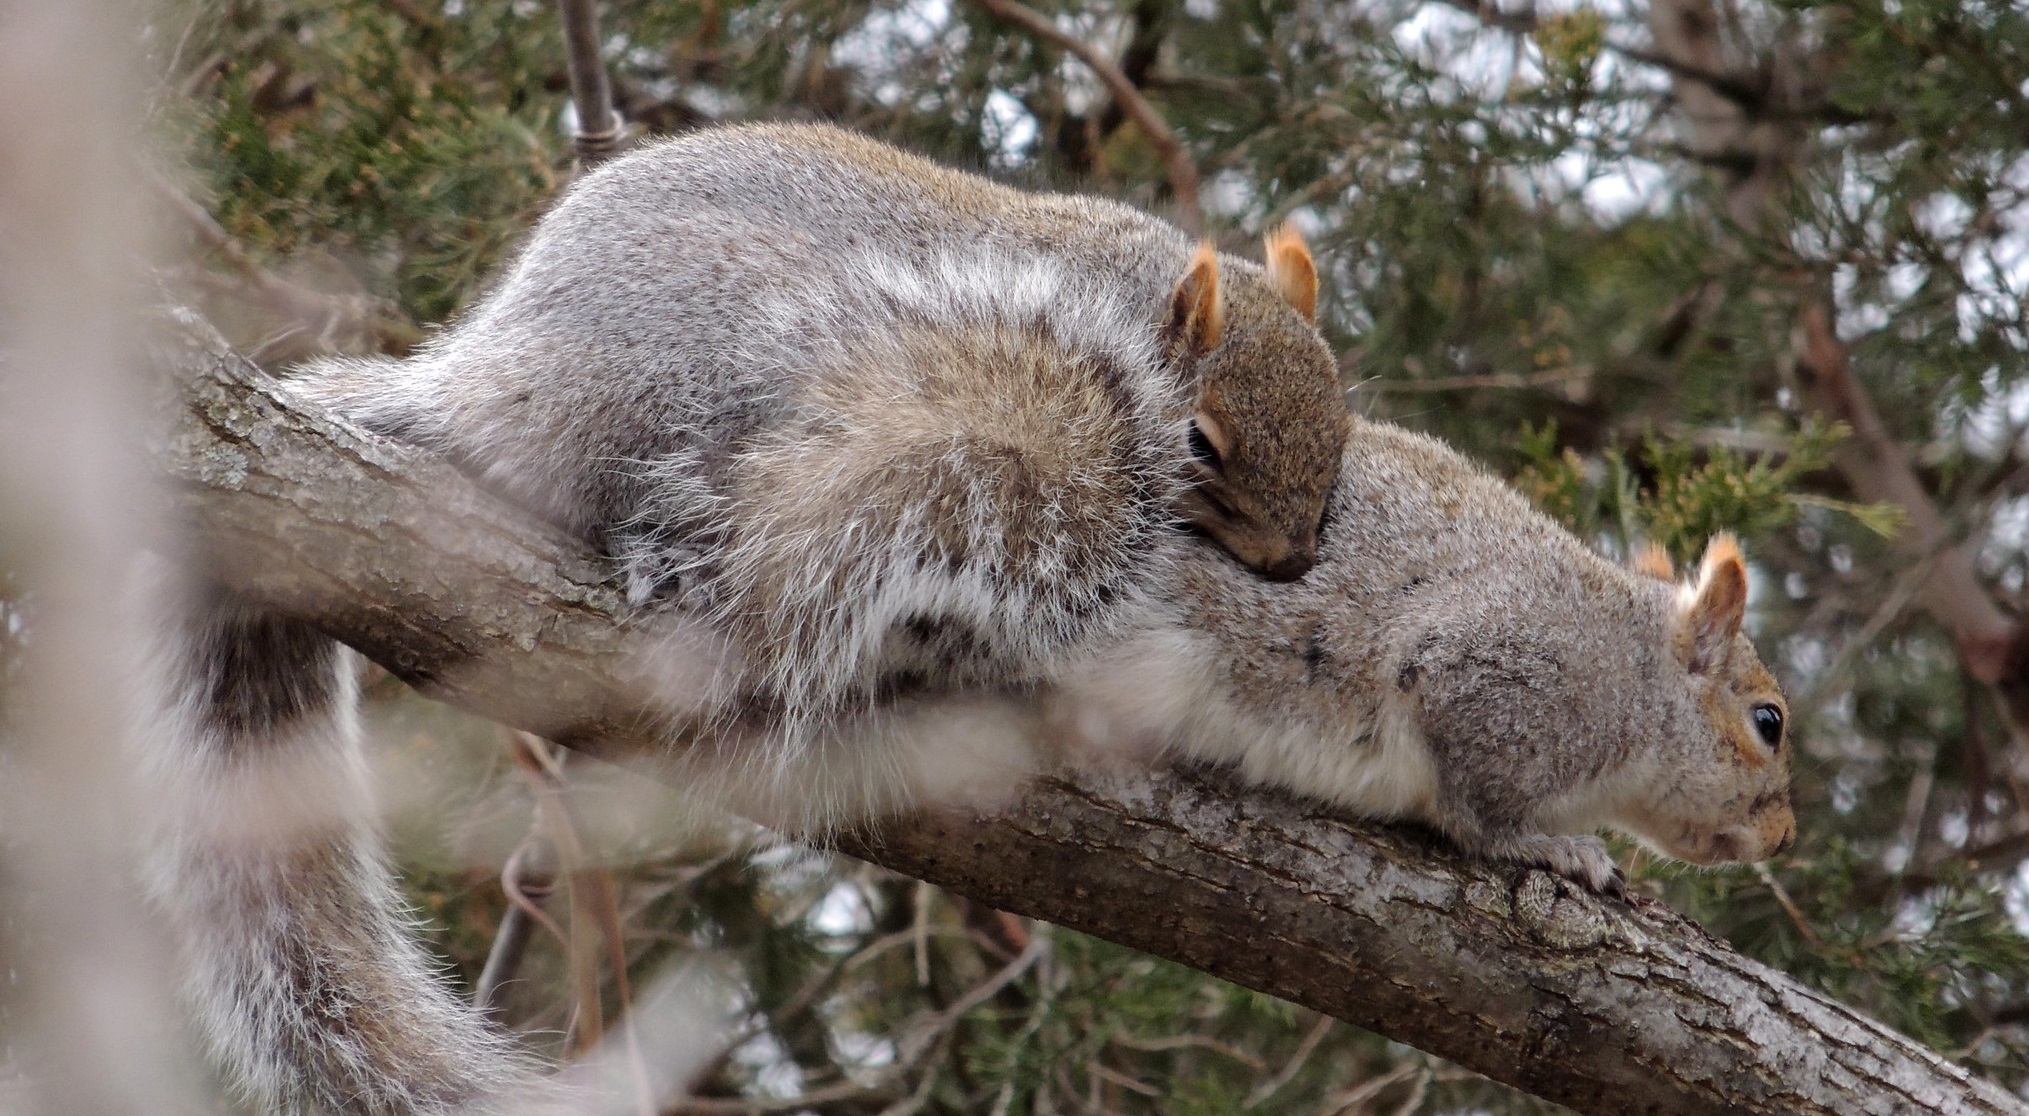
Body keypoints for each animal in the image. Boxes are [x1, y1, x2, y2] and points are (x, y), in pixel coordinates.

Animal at [147, 124, 1793, 1116]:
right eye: (1771, 722)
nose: (1779, 832)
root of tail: (485, 375)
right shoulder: (1496, 676)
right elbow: (1481, 789)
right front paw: (1566, 857)